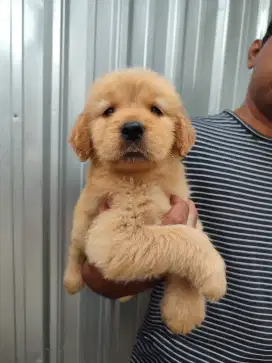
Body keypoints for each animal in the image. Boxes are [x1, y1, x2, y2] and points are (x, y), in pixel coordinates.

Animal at [63, 67, 225, 336]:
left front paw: (184, 310)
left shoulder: (186, 208)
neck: (142, 178)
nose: (132, 128)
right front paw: (215, 275)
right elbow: (182, 237)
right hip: (80, 227)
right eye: (109, 111)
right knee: (75, 252)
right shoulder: (114, 233)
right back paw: (71, 280)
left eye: (156, 110)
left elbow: (193, 236)